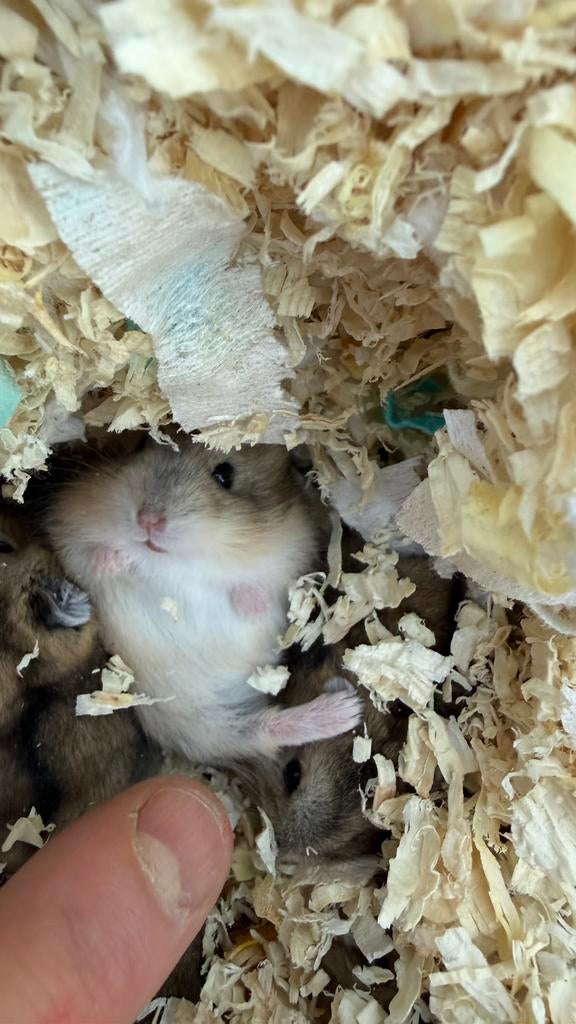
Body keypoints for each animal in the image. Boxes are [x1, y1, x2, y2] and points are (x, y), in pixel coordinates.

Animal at [46, 438, 363, 765]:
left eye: (224, 475)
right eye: (140, 447)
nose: (148, 521)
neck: (179, 561)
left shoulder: (292, 554)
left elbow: (267, 588)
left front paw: (249, 601)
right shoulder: (67, 533)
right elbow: (90, 559)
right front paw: (115, 560)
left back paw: (346, 709)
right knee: (258, 732)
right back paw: (348, 709)